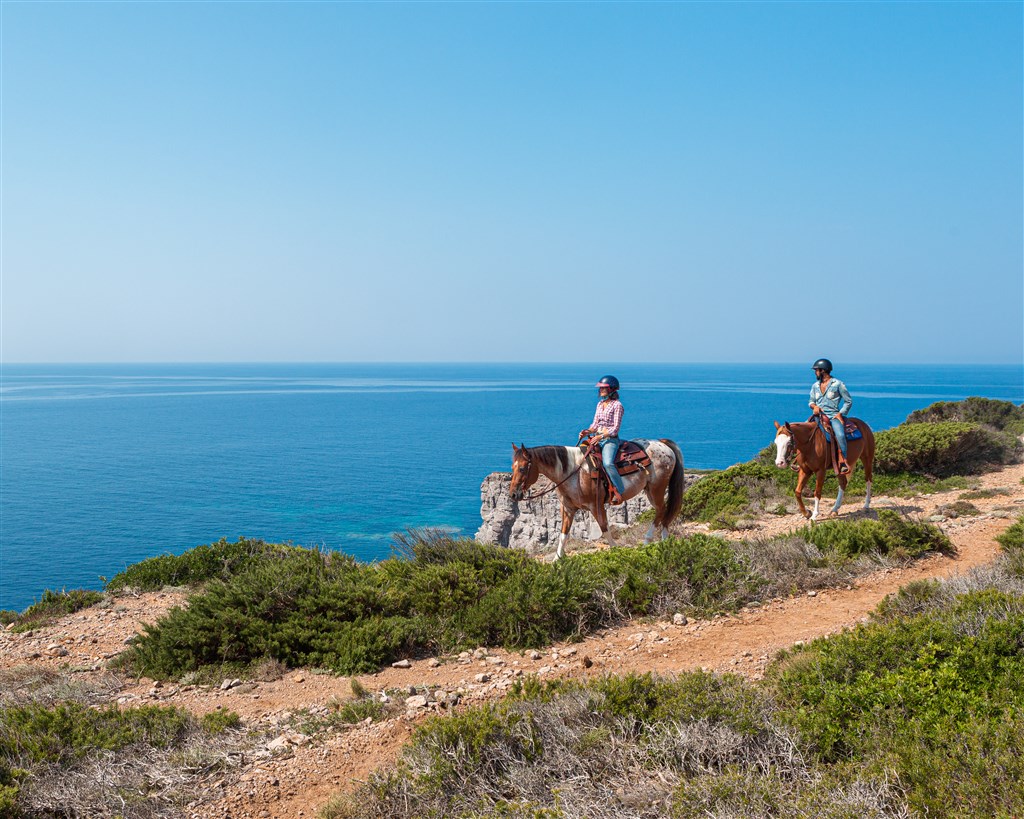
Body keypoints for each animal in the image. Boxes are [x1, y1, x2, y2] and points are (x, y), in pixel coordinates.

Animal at [507, 438, 684, 561]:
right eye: (512, 468)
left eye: (522, 468)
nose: (513, 494)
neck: (573, 473)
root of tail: (663, 445)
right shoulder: (568, 508)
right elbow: (563, 534)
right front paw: (557, 560)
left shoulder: (596, 506)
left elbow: (605, 529)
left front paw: (616, 551)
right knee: (663, 512)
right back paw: (664, 540)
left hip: (656, 489)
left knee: (661, 510)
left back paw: (649, 541)